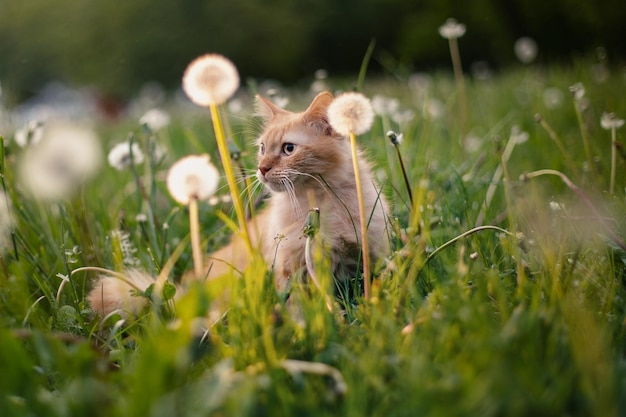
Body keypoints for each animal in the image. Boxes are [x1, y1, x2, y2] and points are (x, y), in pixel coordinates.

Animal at [86, 92, 390, 316]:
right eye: (262, 149)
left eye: (288, 149)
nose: (262, 169)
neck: (317, 203)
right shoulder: (291, 270)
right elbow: (298, 309)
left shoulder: (367, 256)